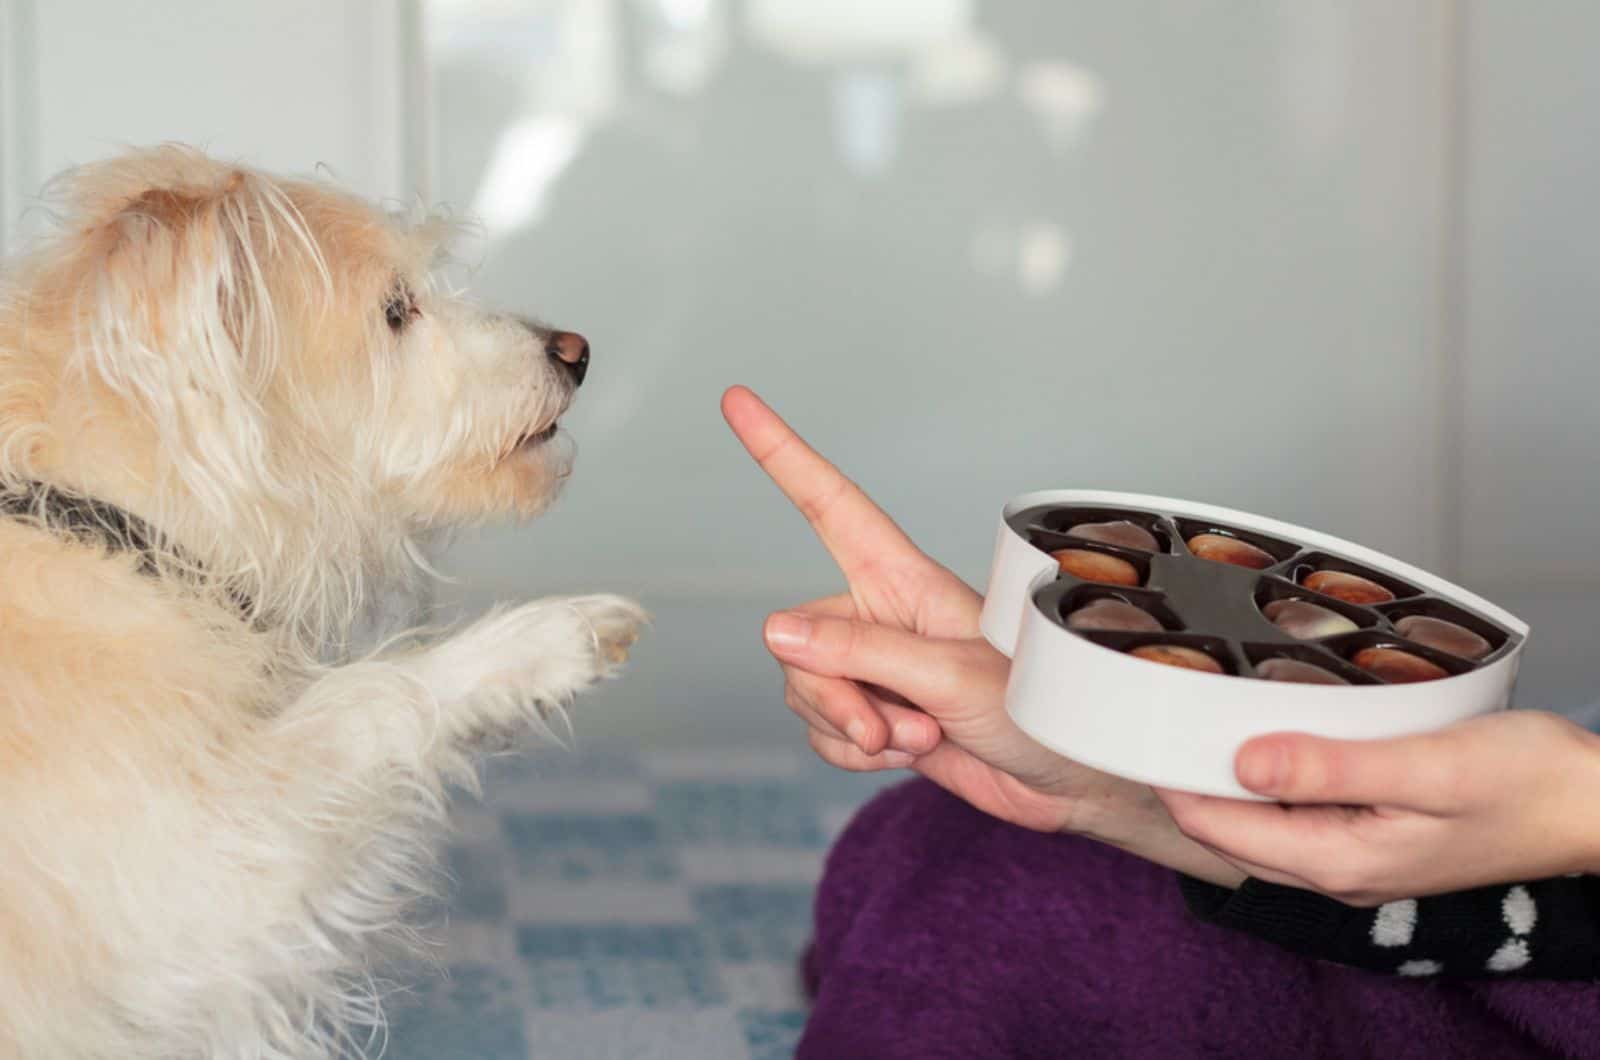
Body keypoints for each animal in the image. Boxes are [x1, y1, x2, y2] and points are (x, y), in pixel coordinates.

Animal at [0, 145, 643, 1056]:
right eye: (396, 312)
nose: (576, 350)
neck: (112, 524)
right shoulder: (199, 875)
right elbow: (365, 697)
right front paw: (545, 640)